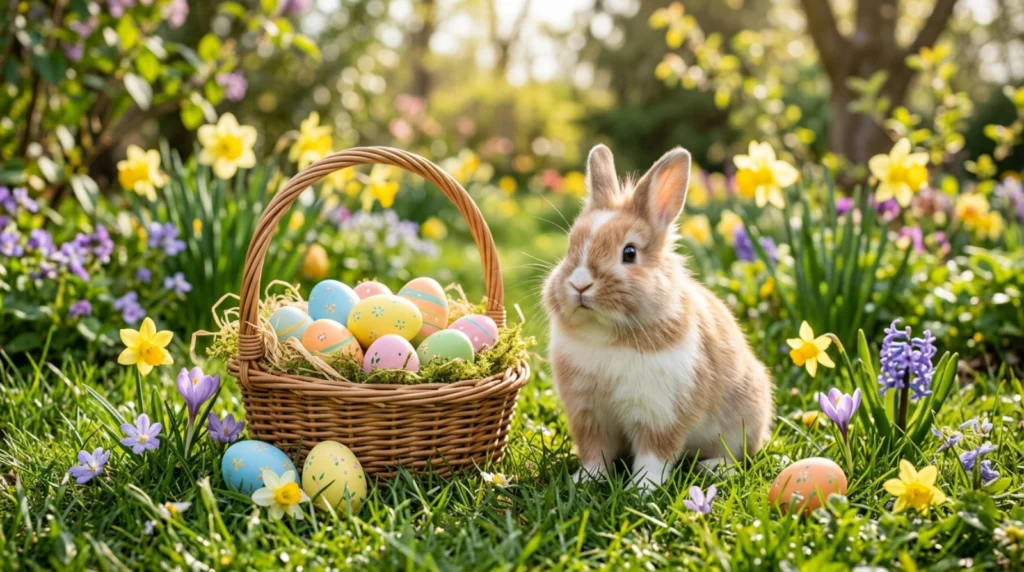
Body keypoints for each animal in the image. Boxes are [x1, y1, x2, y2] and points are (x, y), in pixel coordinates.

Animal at [542, 144, 774, 492]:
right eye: (570, 247)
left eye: (629, 253)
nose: (579, 284)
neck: (607, 334)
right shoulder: (589, 415)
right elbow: (596, 452)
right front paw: (584, 480)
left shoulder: (662, 412)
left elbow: (655, 455)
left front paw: (642, 490)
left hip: (742, 424)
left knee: (738, 456)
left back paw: (713, 469)